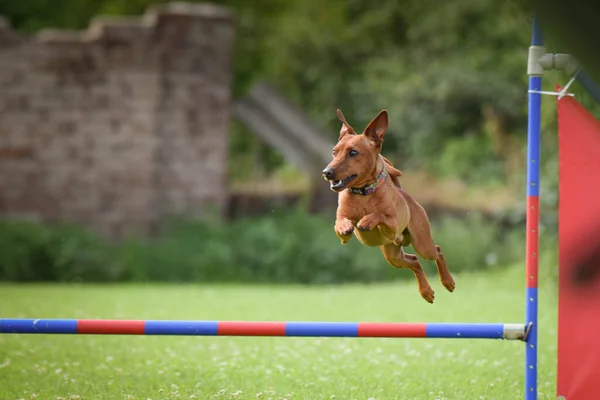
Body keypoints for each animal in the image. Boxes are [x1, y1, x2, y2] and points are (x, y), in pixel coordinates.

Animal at [324, 108, 454, 302]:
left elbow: (378, 215)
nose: (327, 172)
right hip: (393, 255)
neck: (363, 193)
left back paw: (447, 281)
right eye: (334, 152)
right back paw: (426, 291)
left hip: (422, 244)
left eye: (353, 153)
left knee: (437, 251)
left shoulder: (392, 226)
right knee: (414, 261)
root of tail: (405, 194)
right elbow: (340, 223)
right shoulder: (341, 229)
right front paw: (346, 226)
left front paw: (366, 221)